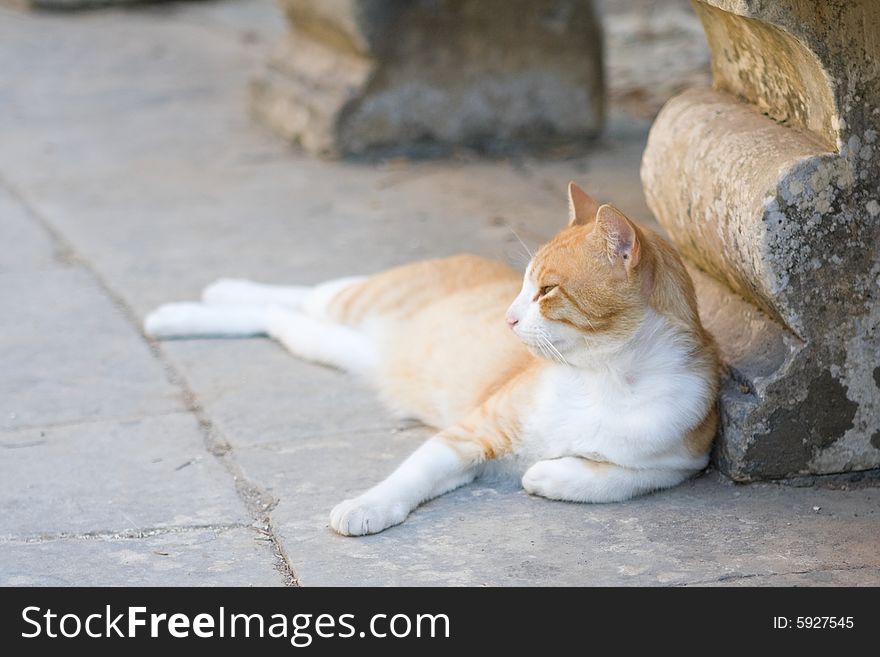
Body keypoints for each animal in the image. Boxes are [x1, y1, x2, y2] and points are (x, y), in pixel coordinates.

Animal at [146, 183, 720, 532]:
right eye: (522, 285)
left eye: (547, 291)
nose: (508, 318)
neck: (605, 377)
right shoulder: (471, 432)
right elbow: (412, 474)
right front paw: (368, 506)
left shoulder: (683, 460)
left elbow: (627, 475)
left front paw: (552, 475)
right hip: (358, 299)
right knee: (303, 294)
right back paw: (193, 304)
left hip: (338, 344)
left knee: (278, 320)